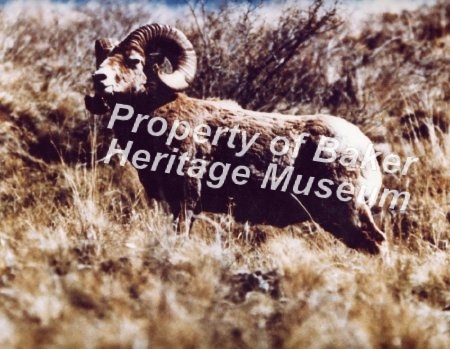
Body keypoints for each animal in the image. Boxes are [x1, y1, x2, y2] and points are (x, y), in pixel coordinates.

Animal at [85, 23, 386, 253]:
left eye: (133, 61)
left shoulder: (185, 201)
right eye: (102, 60)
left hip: (346, 213)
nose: (99, 78)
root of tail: (366, 148)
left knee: (378, 244)